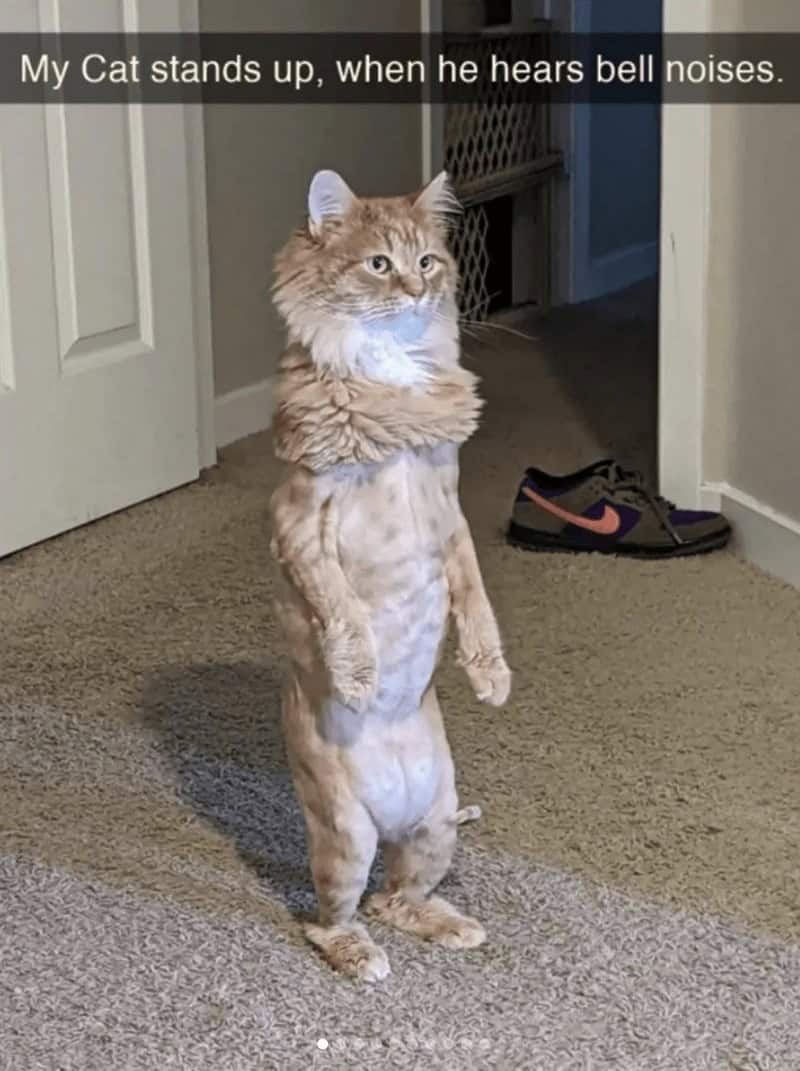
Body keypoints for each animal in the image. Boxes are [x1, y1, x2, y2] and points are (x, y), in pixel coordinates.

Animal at [269, 169, 511, 981]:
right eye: (379, 264)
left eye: (428, 261)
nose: (414, 289)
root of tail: (396, 813)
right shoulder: (297, 521)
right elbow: (340, 608)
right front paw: (359, 676)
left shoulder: (451, 514)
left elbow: (477, 602)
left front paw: (491, 678)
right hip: (346, 836)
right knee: (330, 919)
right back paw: (360, 957)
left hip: (436, 824)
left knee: (395, 898)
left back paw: (452, 924)